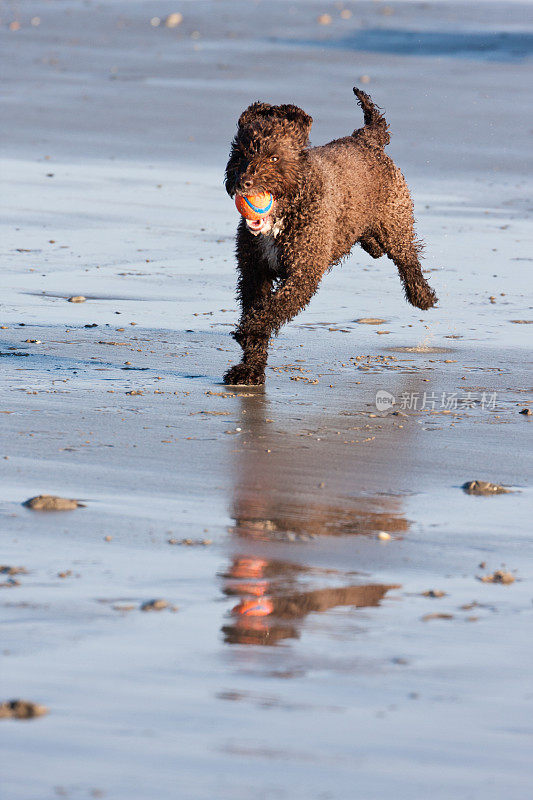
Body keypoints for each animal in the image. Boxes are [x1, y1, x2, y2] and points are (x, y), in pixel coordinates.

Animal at [223, 86, 436, 386]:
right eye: (240, 154)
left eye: (274, 157)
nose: (244, 183)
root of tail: (367, 137)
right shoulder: (254, 272)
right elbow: (259, 308)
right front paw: (249, 369)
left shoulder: (302, 274)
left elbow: (270, 311)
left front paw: (249, 332)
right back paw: (373, 247)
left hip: (395, 221)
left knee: (408, 259)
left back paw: (423, 296)